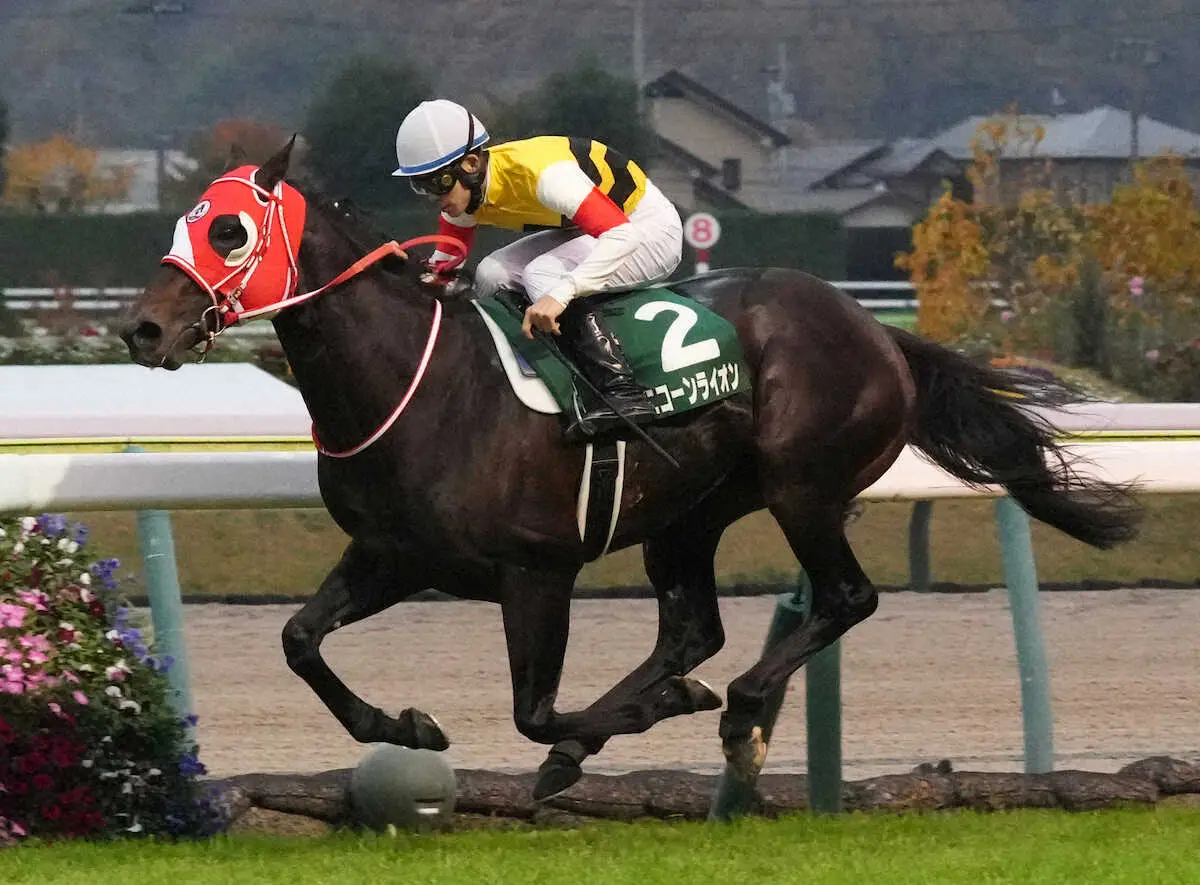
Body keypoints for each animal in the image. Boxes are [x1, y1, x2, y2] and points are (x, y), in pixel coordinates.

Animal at [118, 139, 1141, 802]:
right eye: (184, 223)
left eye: (230, 232)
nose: (142, 328)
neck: (418, 382)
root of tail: (878, 332)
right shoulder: (393, 555)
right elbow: (300, 641)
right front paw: (406, 727)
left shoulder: (536, 569)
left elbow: (533, 710)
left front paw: (615, 726)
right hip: (692, 513)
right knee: (694, 629)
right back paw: (657, 710)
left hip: (802, 486)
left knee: (842, 598)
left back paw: (733, 710)